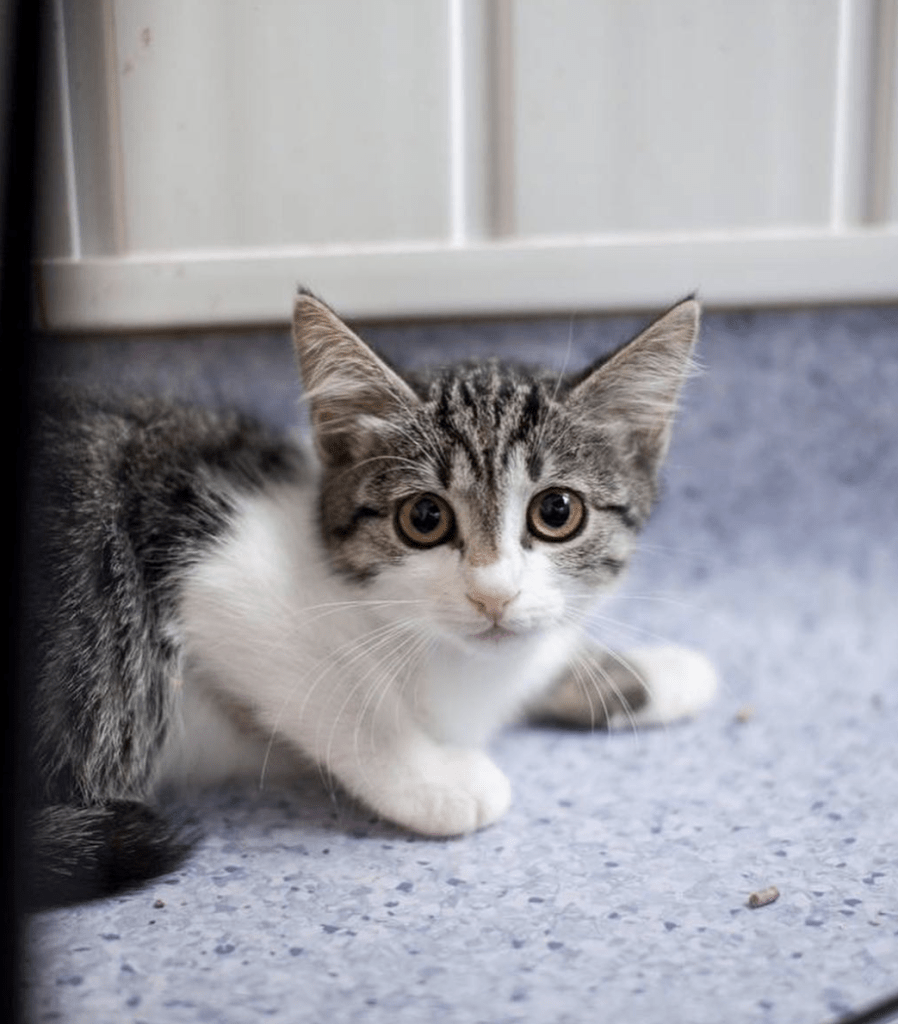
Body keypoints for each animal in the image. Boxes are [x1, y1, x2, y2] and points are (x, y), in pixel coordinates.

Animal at [20, 288, 716, 905]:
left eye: (557, 511)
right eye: (425, 519)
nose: (493, 595)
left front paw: (664, 671)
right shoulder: (199, 552)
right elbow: (336, 689)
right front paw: (440, 781)